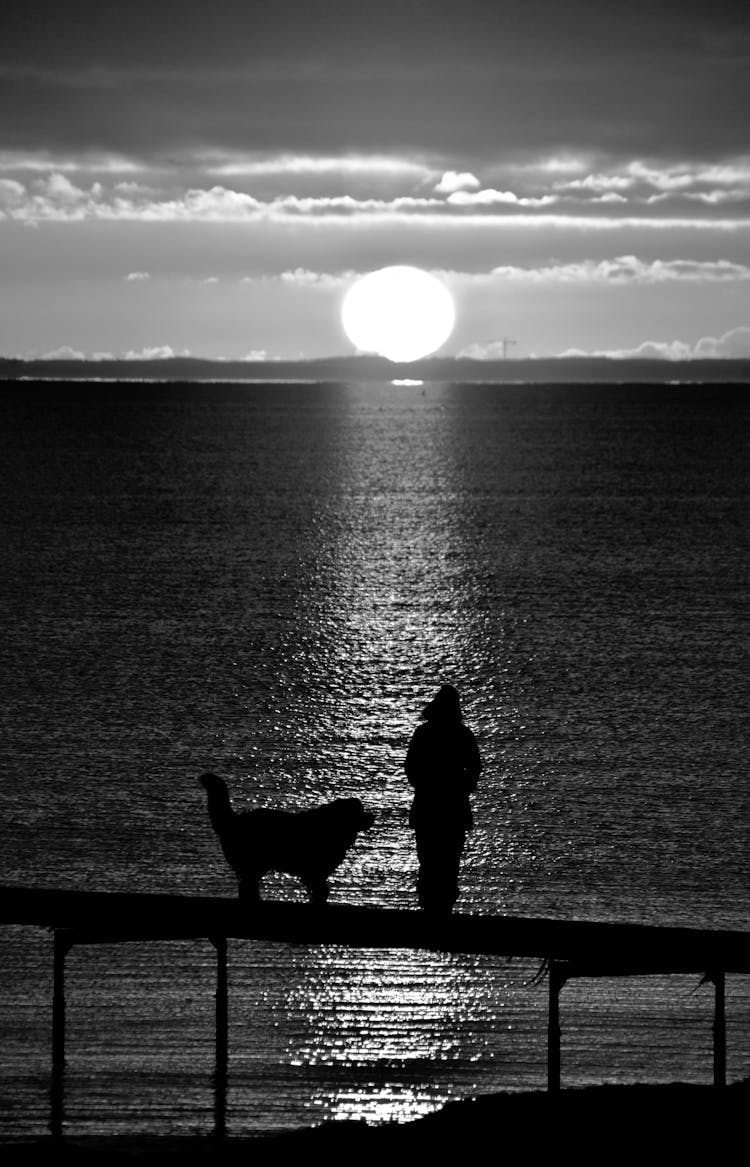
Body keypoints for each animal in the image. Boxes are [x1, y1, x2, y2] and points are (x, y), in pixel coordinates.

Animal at [199, 774, 375, 900]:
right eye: (360, 812)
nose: (372, 816)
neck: (333, 825)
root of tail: (234, 820)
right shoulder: (313, 872)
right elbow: (321, 890)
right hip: (254, 864)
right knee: (247, 886)